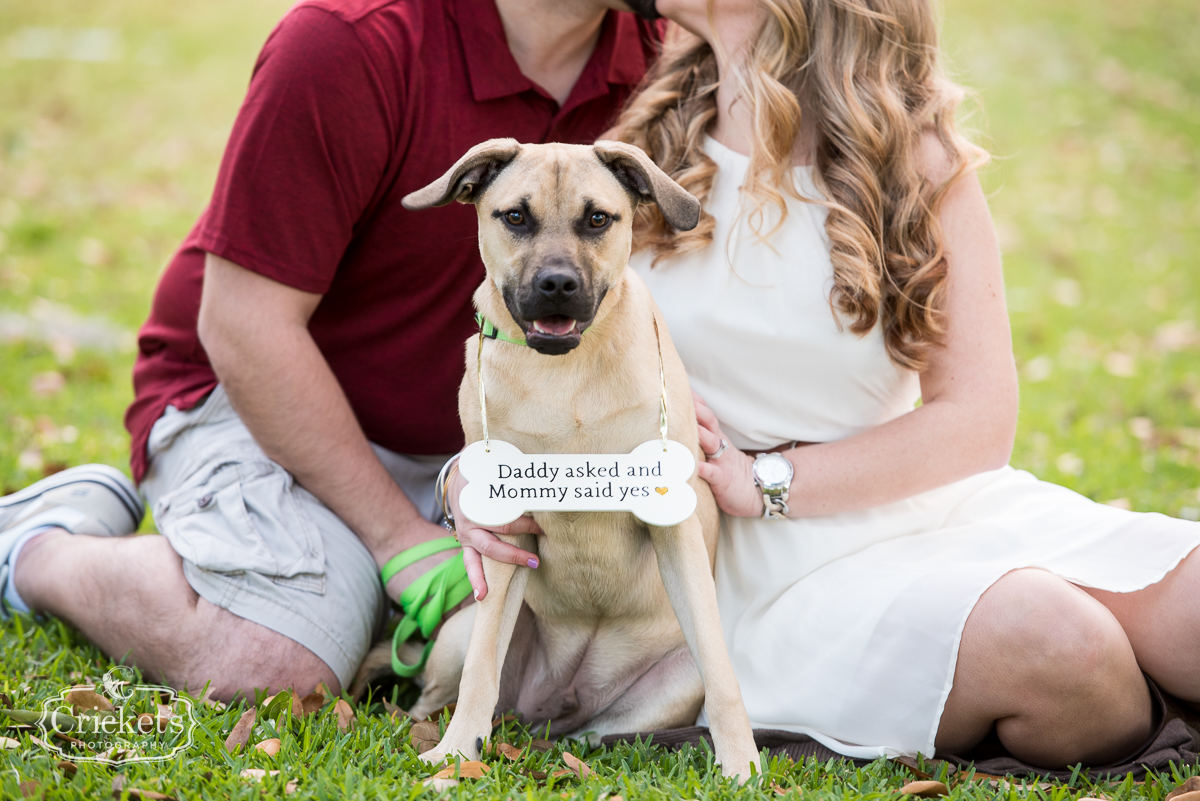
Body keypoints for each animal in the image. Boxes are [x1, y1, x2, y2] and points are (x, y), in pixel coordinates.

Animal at [403, 139, 758, 781]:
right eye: (516, 217)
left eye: (597, 219)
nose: (557, 284)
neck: (564, 374)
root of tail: (554, 701)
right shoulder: (505, 529)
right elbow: (482, 669)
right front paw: (455, 756)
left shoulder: (674, 525)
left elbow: (723, 673)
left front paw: (741, 766)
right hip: (462, 628)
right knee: (435, 695)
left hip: (665, 687)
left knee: (607, 731)